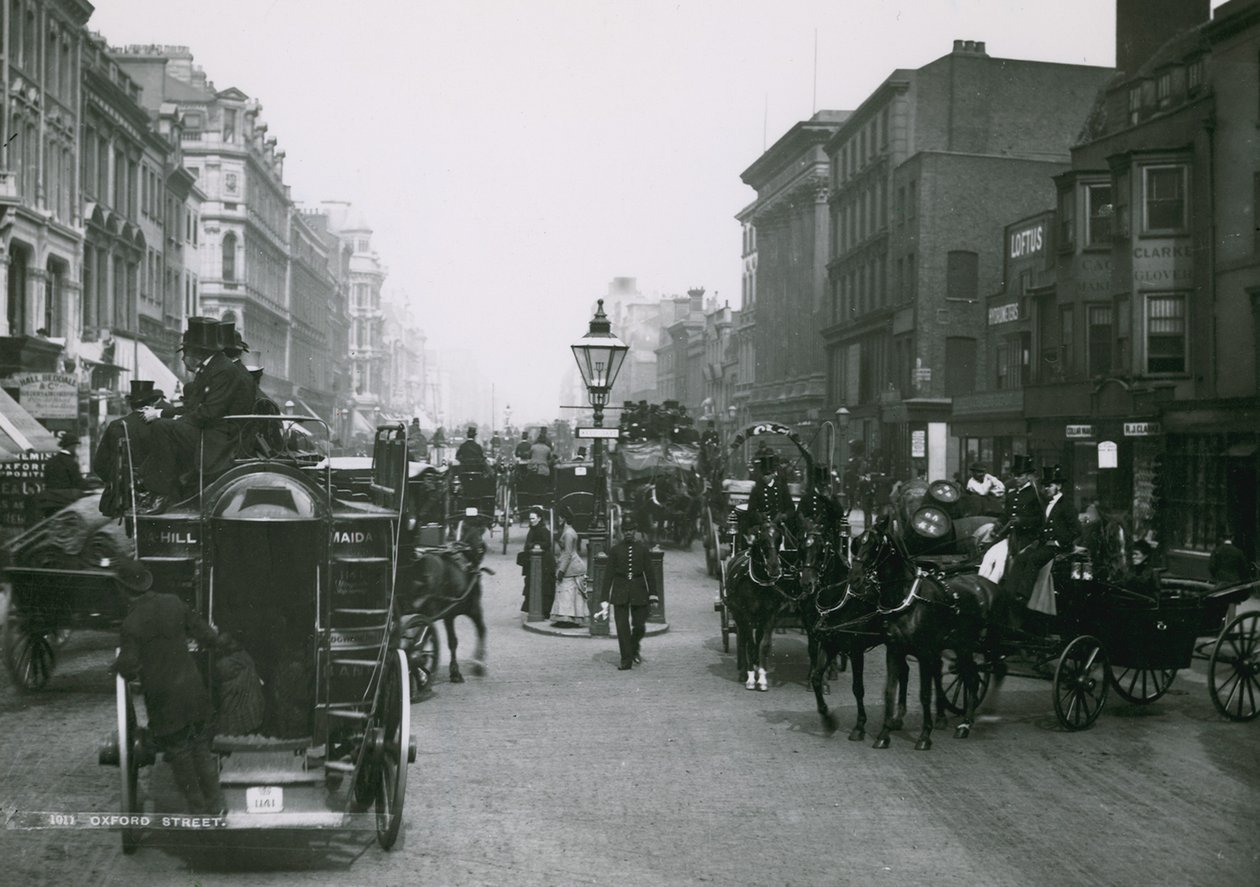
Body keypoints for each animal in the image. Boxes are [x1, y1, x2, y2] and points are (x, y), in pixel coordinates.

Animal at [395, 519, 493, 685]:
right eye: (482, 546)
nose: (479, 558)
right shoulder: (474, 609)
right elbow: (482, 630)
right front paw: (478, 665)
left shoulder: (449, 614)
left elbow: (452, 641)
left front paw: (455, 672)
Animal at [720, 524, 786, 690]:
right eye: (762, 540)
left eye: (779, 539)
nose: (774, 567)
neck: (759, 585)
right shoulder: (746, 615)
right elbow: (749, 644)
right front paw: (750, 678)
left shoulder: (770, 616)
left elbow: (764, 645)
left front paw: (761, 678)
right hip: (738, 616)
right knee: (743, 640)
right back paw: (744, 672)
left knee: (757, 639)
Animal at [796, 514, 907, 740]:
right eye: (802, 547)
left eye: (822, 549)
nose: (806, 584)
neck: (840, 600)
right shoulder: (829, 644)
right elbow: (816, 678)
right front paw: (827, 719)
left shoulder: (856, 650)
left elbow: (858, 688)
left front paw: (859, 726)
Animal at [846, 514, 1013, 745]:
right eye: (856, 543)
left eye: (875, 545)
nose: (855, 578)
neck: (906, 598)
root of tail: (991, 584)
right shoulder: (894, 649)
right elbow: (890, 690)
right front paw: (884, 733)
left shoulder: (924, 652)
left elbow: (925, 694)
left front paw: (925, 735)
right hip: (963, 645)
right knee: (971, 678)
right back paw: (965, 722)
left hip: (988, 643)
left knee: (993, 671)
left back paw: (976, 719)